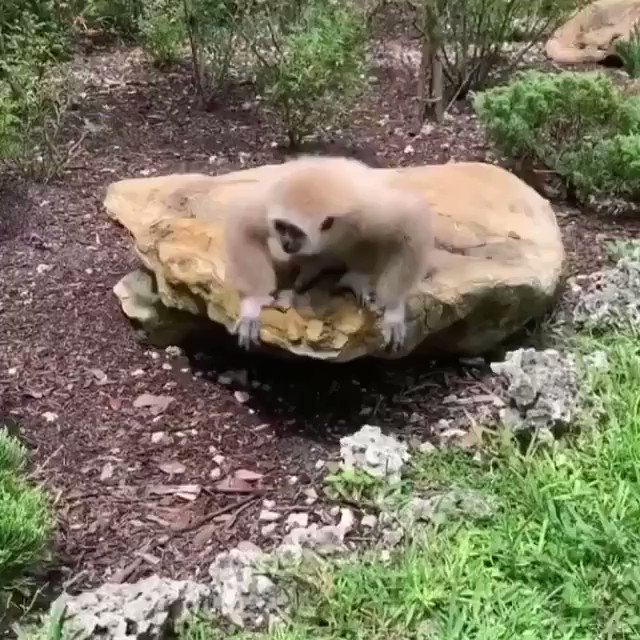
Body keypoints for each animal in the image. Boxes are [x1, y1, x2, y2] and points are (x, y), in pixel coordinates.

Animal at [223, 155, 435, 351]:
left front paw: (393, 309)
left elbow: (411, 226)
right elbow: (242, 226)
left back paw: (354, 276)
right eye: (281, 227)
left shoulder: (370, 212)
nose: (286, 242)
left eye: (295, 231)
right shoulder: (268, 204)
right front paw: (253, 303)